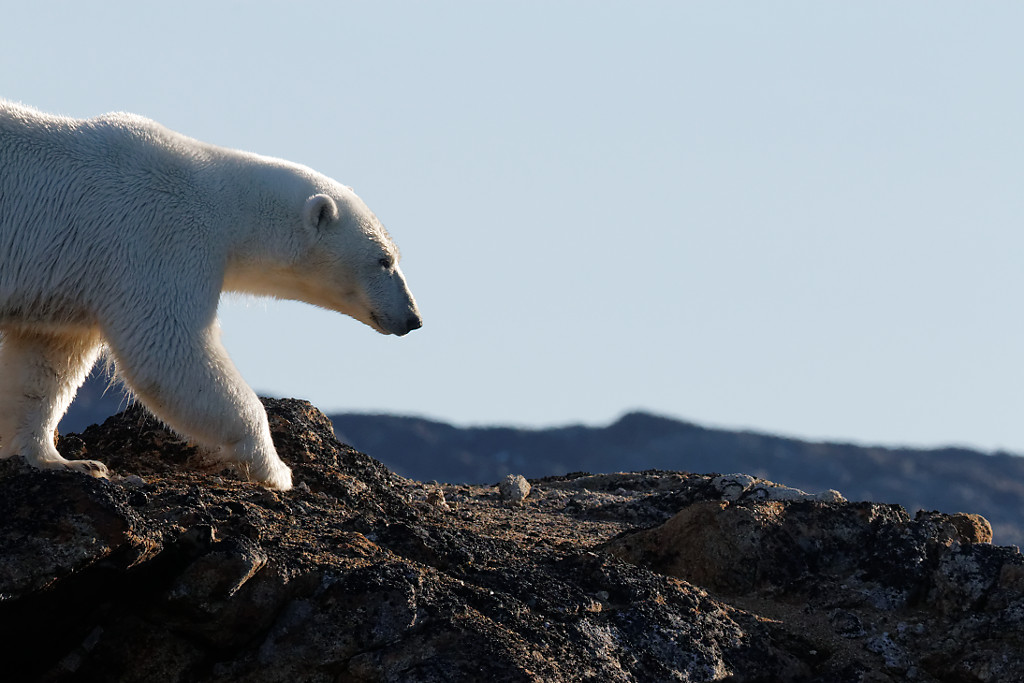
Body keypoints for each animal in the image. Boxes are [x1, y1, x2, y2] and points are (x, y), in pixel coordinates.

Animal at [0, 100, 419, 491]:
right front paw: (277, 470)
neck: (226, 207)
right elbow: (172, 353)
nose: (413, 318)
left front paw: (65, 460)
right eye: (384, 260)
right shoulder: (157, 240)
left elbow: (48, 362)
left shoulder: (71, 278)